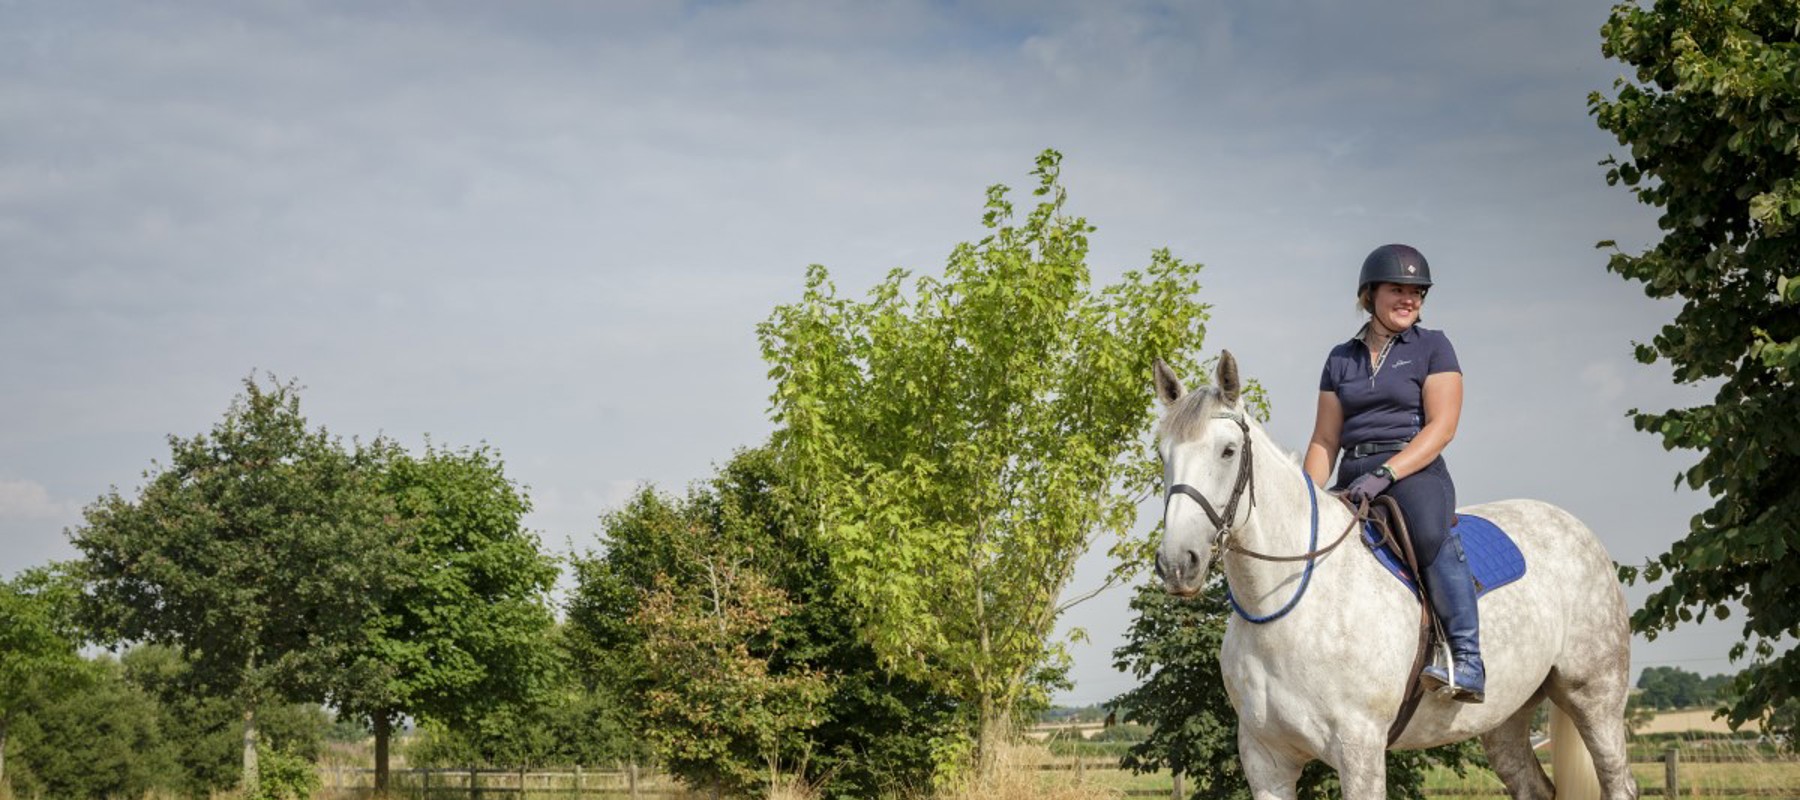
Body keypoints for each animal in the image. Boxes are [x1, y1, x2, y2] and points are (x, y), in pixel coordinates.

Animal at [1151, 352, 1637, 800]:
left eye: (1228, 451)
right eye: (1163, 455)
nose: (1178, 563)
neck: (1285, 609)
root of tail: (1578, 530)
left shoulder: (1360, 749)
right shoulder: (1266, 761)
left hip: (1595, 698)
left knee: (1619, 782)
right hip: (1506, 716)